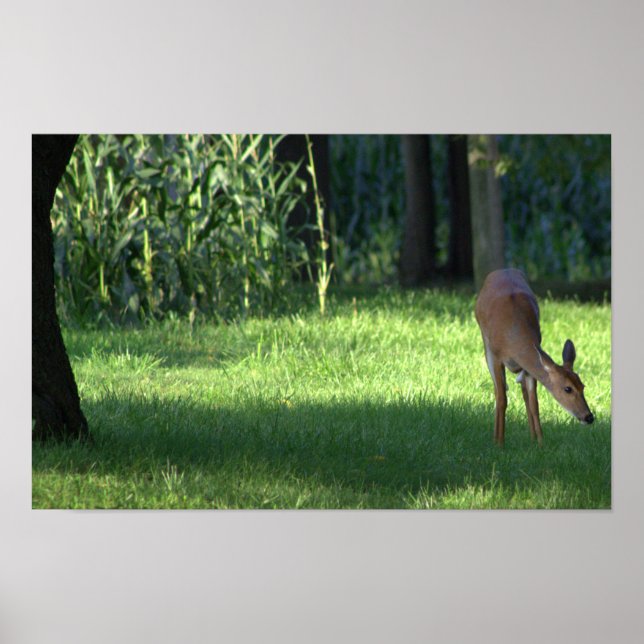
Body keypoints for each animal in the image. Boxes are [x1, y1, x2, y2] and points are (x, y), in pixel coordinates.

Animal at [475, 268, 593, 445]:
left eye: (583, 386)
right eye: (567, 388)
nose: (589, 417)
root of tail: (503, 270)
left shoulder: (529, 366)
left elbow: (534, 403)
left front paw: (540, 443)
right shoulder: (496, 356)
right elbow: (502, 399)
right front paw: (500, 443)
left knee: (523, 392)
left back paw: (530, 436)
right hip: (485, 344)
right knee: (498, 390)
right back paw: (496, 437)